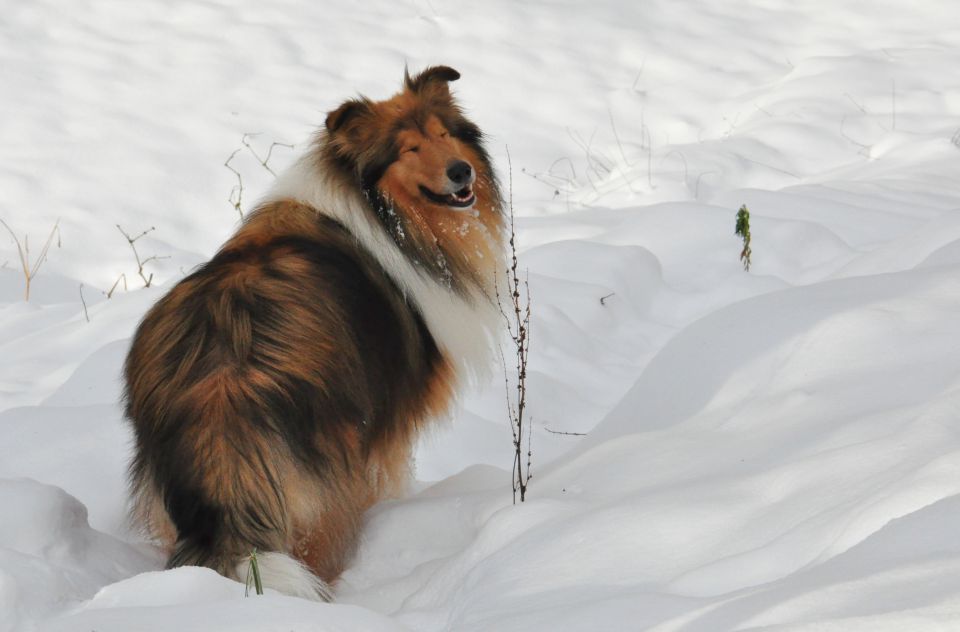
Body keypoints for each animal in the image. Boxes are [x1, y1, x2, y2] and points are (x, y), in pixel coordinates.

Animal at [124, 66, 506, 600]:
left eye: (444, 134)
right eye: (408, 149)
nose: (461, 172)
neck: (378, 210)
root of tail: (217, 386)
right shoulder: (387, 429)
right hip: (327, 472)